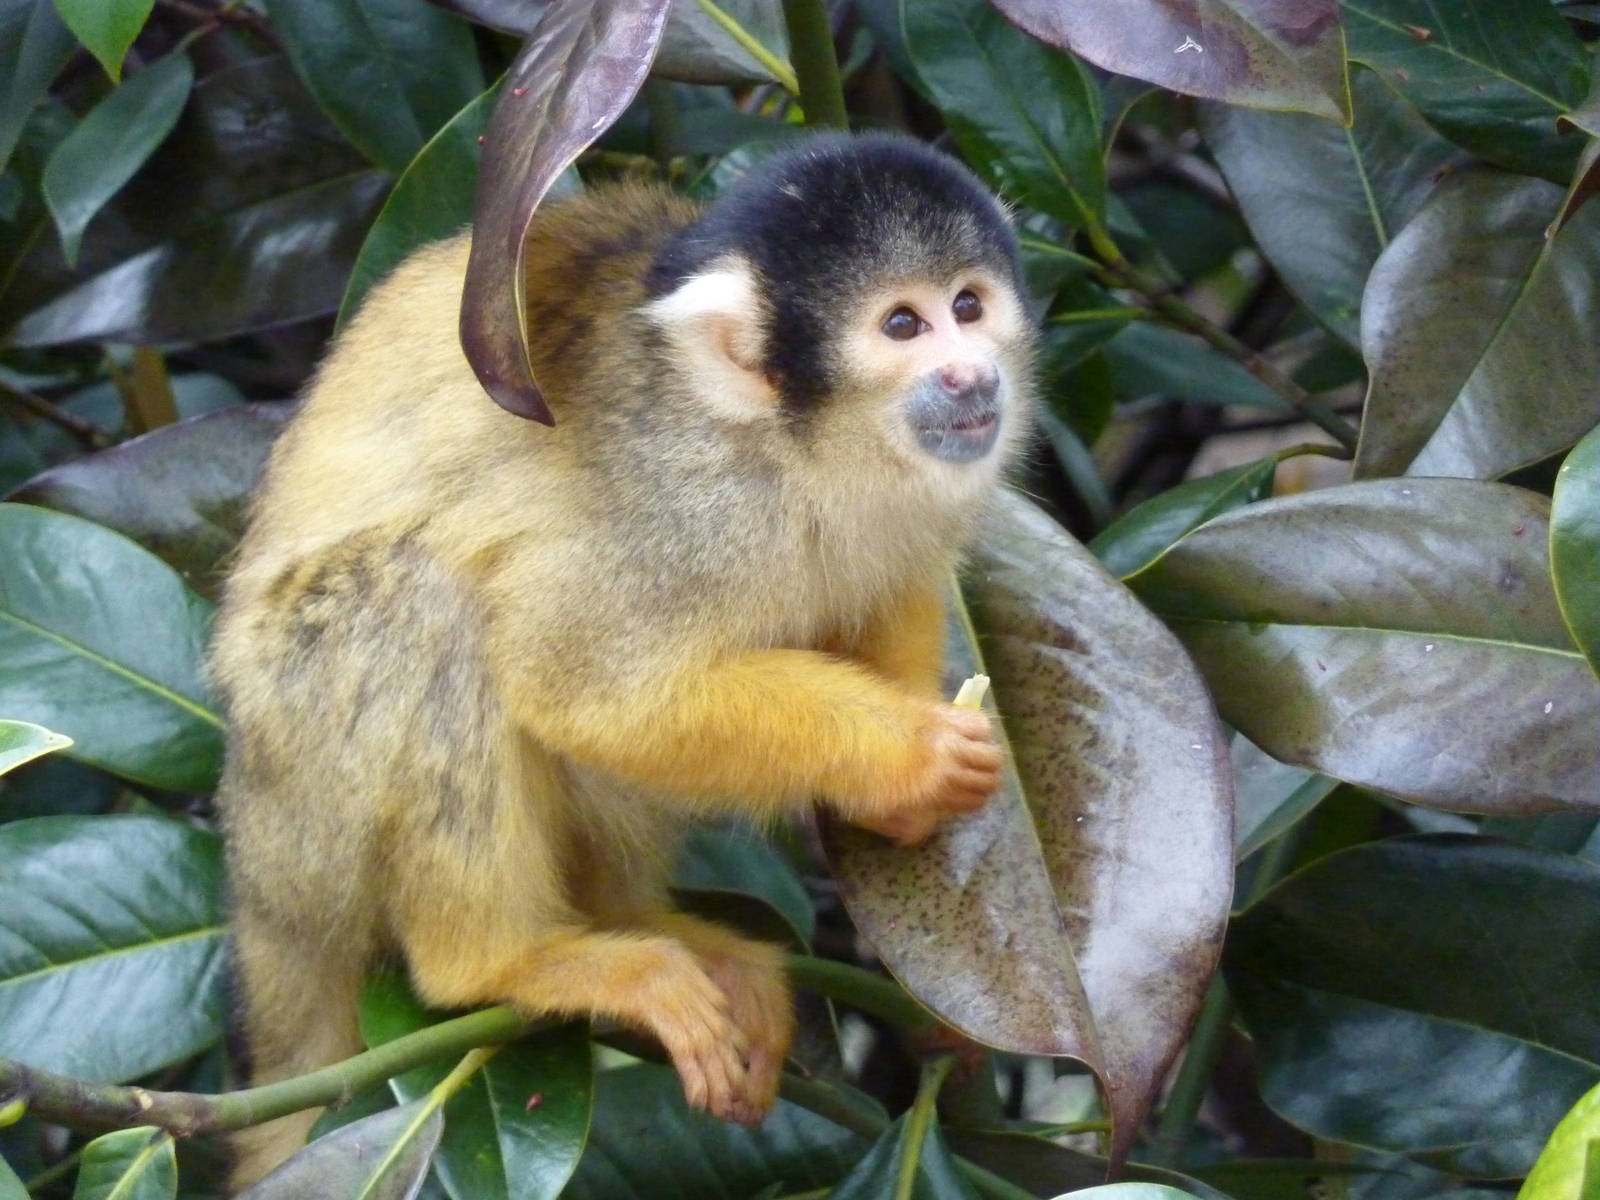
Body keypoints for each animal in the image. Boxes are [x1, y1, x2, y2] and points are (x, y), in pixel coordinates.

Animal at [210, 131, 1036, 1189]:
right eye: (903, 325)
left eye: (968, 305)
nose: (973, 376)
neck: (798, 445)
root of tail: (255, 874)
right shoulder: (680, 502)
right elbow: (580, 684)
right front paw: (911, 758)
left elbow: (884, 590)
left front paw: (895, 810)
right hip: (302, 792)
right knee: (419, 602)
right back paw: (505, 961)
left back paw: (641, 923)